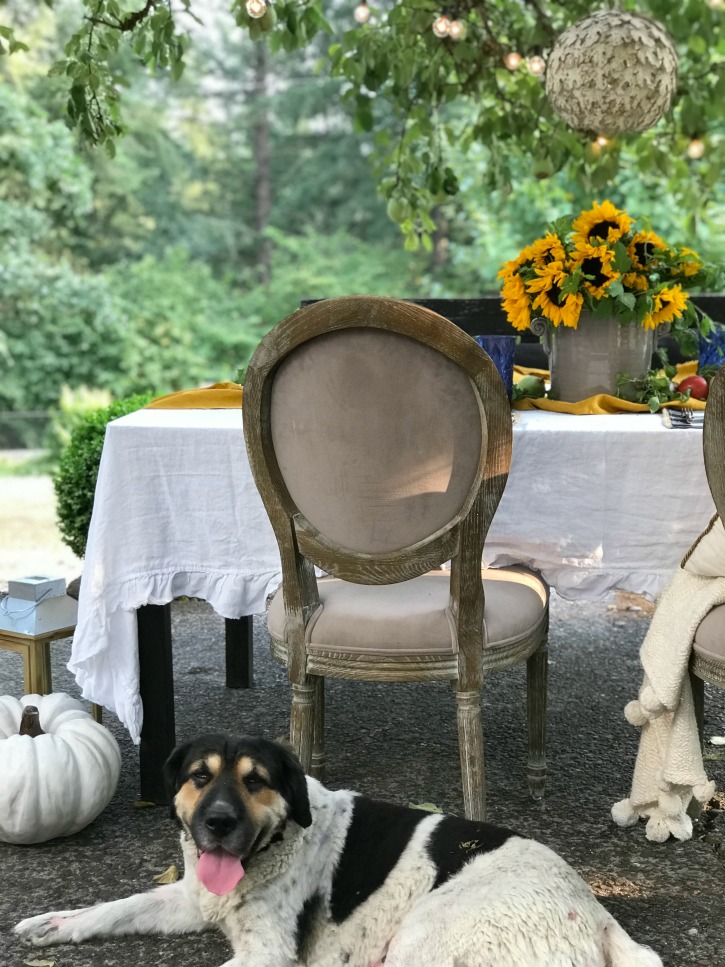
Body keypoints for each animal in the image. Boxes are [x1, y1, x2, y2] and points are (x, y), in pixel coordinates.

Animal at [15, 732, 660, 967]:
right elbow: (113, 908)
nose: (218, 824)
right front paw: (53, 922)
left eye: (256, 781)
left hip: (423, 940)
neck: (274, 847)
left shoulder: (266, 953)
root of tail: (598, 914)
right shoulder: (192, 898)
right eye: (200, 776)